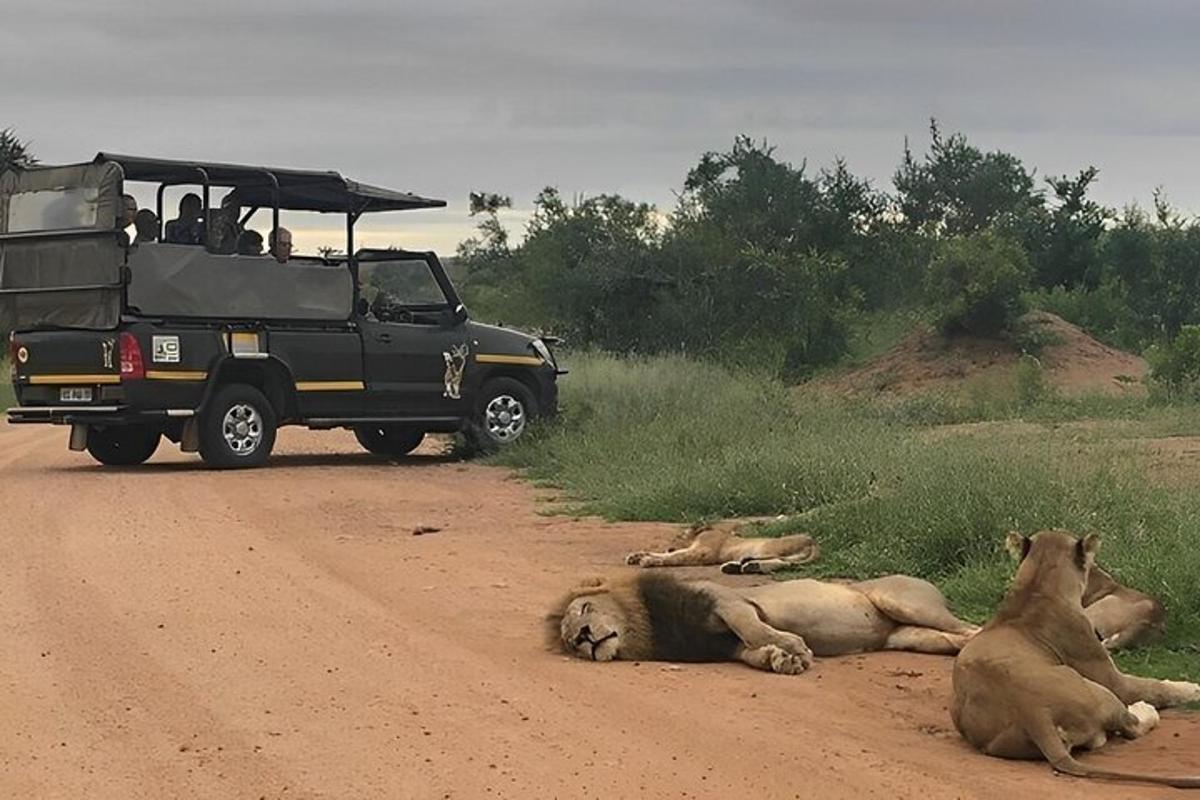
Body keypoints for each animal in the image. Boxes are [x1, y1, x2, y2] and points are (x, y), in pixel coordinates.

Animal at [549, 568, 979, 676]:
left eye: (584, 609)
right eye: (569, 641)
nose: (584, 637)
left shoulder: (726, 601)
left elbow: (753, 627)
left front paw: (793, 647)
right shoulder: (728, 647)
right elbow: (753, 649)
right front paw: (782, 660)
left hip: (902, 601)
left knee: (968, 628)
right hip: (910, 637)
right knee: (951, 639)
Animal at [950, 532, 1195, 786]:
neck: (1034, 589)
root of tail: (1034, 714)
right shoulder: (1113, 680)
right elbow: (1156, 687)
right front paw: (1193, 688)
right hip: (1101, 690)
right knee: (1131, 726)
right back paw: (1144, 709)